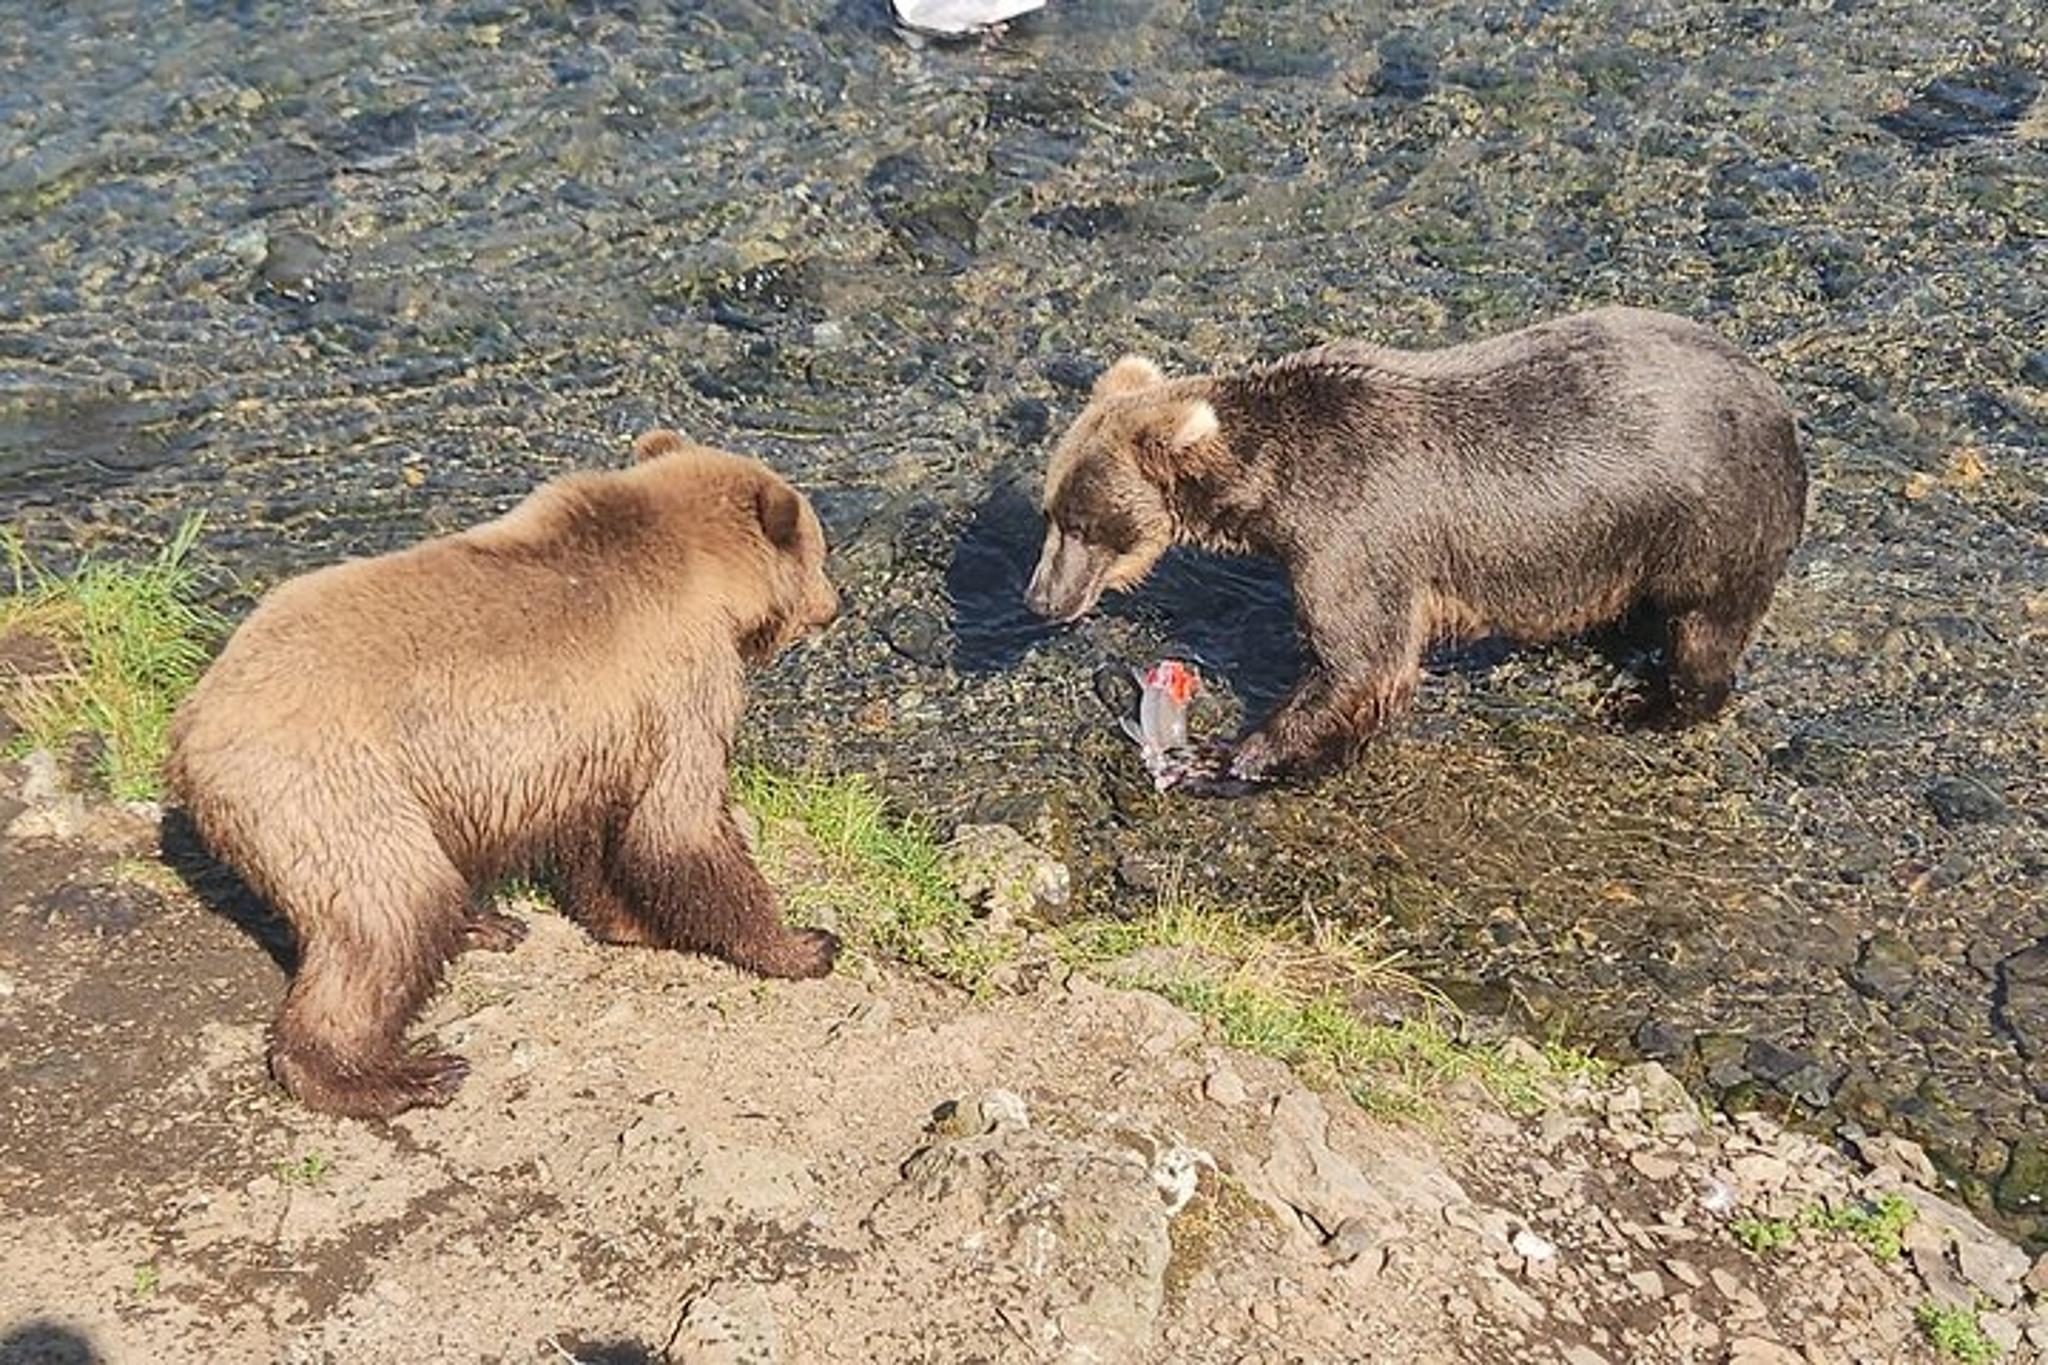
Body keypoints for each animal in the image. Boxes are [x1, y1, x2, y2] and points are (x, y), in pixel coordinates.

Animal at [166, 430, 842, 1118]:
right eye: (821, 550)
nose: (835, 605)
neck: (707, 581)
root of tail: (190, 732)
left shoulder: (594, 737)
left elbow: (601, 836)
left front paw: (630, 922)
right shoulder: (682, 685)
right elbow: (683, 824)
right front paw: (803, 944)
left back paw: (486, 924)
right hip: (331, 787)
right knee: (389, 913)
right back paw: (394, 1072)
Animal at [1024, 306, 1807, 792]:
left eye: (1084, 525)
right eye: (1051, 512)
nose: (1040, 598)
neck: (1273, 490)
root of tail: (1781, 405)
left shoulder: (1356, 533)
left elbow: (1362, 662)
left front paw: (1226, 755)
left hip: (1708, 522)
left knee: (1704, 629)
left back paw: (1646, 702)